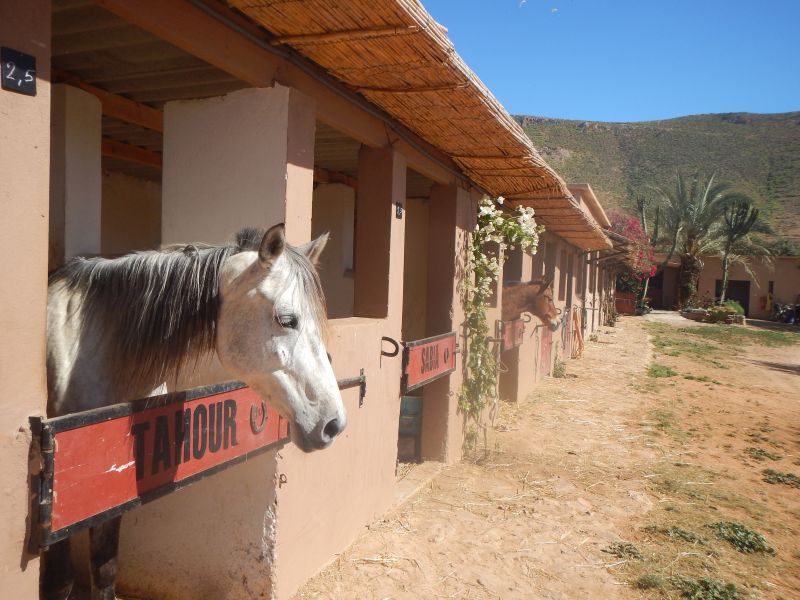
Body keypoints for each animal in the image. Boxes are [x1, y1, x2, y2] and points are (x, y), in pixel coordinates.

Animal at [43, 224, 344, 600]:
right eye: (287, 320)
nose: (333, 424)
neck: (96, 351)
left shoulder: (113, 492)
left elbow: (106, 567)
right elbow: (60, 581)